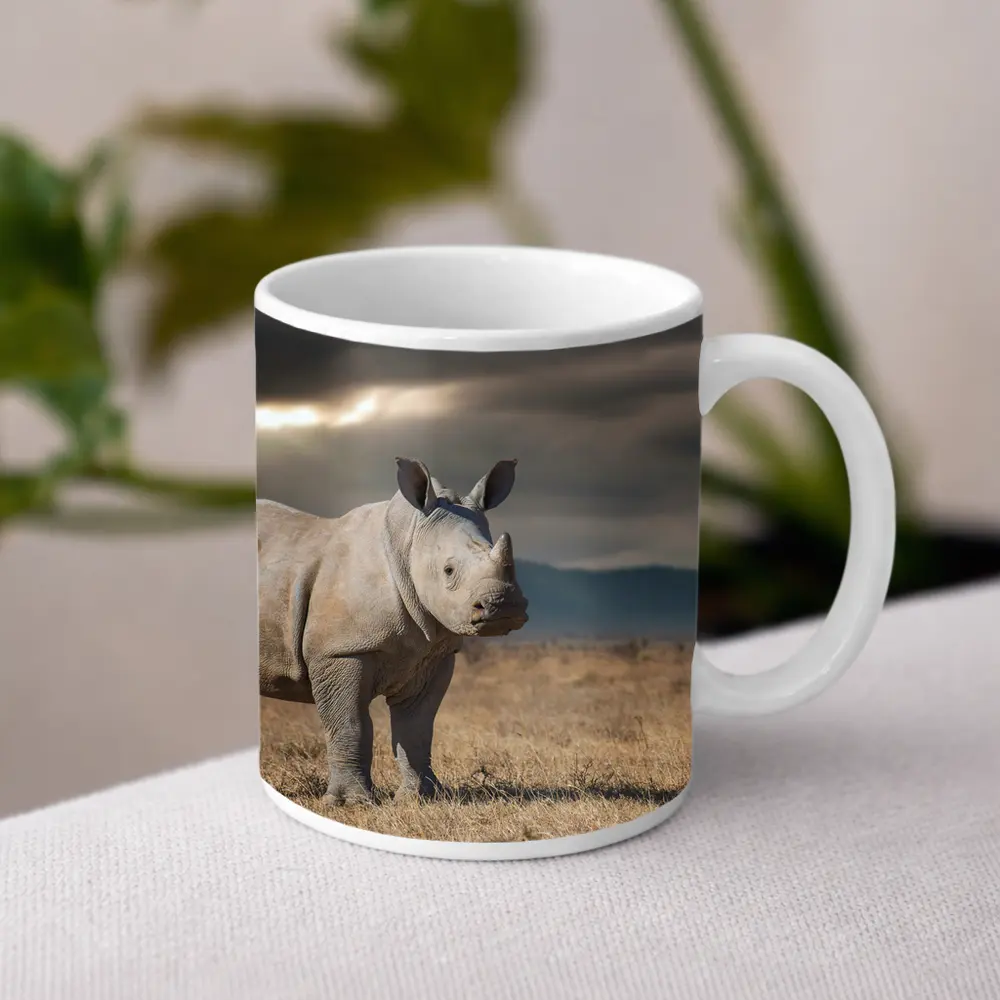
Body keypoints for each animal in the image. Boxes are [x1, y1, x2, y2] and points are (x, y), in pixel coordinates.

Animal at [258, 457, 529, 805]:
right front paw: (349, 803)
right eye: (448, 571)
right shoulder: (340, 650)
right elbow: (350, 725)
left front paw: (421, 798)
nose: (503, 606)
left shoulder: (433, 654)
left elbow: (417, 728)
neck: (408, 544)